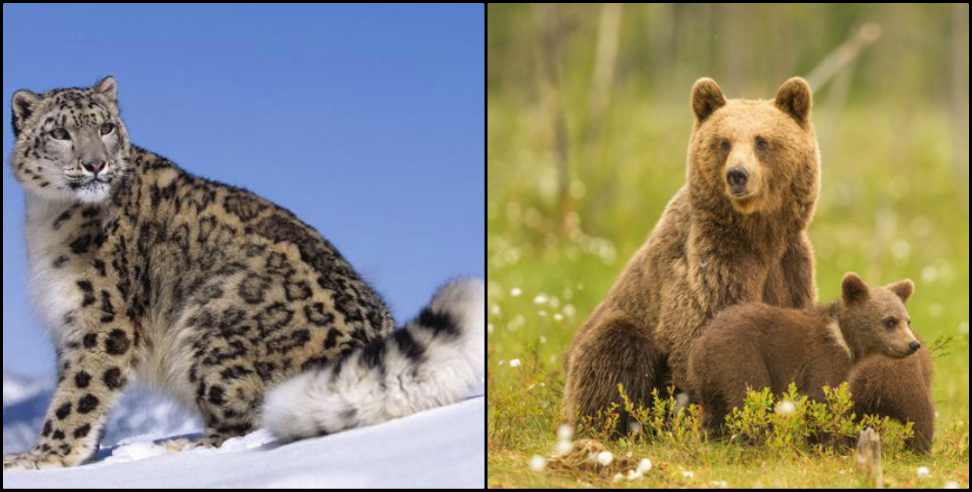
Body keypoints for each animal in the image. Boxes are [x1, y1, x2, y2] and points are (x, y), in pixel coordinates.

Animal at [1, 76, 484, 468]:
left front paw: (42, 457)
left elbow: (80, 391)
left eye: (105, 128)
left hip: (209, 321)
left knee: (252, 420)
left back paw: (179, 446)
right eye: (60, 132)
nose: (95, 164)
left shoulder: (103, 318)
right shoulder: (69, 322)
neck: (48, 218)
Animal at [560, 77, 820, 434]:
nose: (737, 174)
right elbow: (705, 338)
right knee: (613, 349)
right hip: (613, 335)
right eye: (724, 142)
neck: (759, 237)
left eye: (762, 140)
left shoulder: (790, 267)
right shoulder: (714, 266)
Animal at [684, 276, 928, 446]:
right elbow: (820, 399)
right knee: (750, 397)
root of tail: (702, 344)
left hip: (709, 380)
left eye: (907, 320)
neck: (846, 340)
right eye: (890, 321)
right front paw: (824, 443)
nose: (913, 344)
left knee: (715, 411)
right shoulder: (823, 359)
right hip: (741, 357)